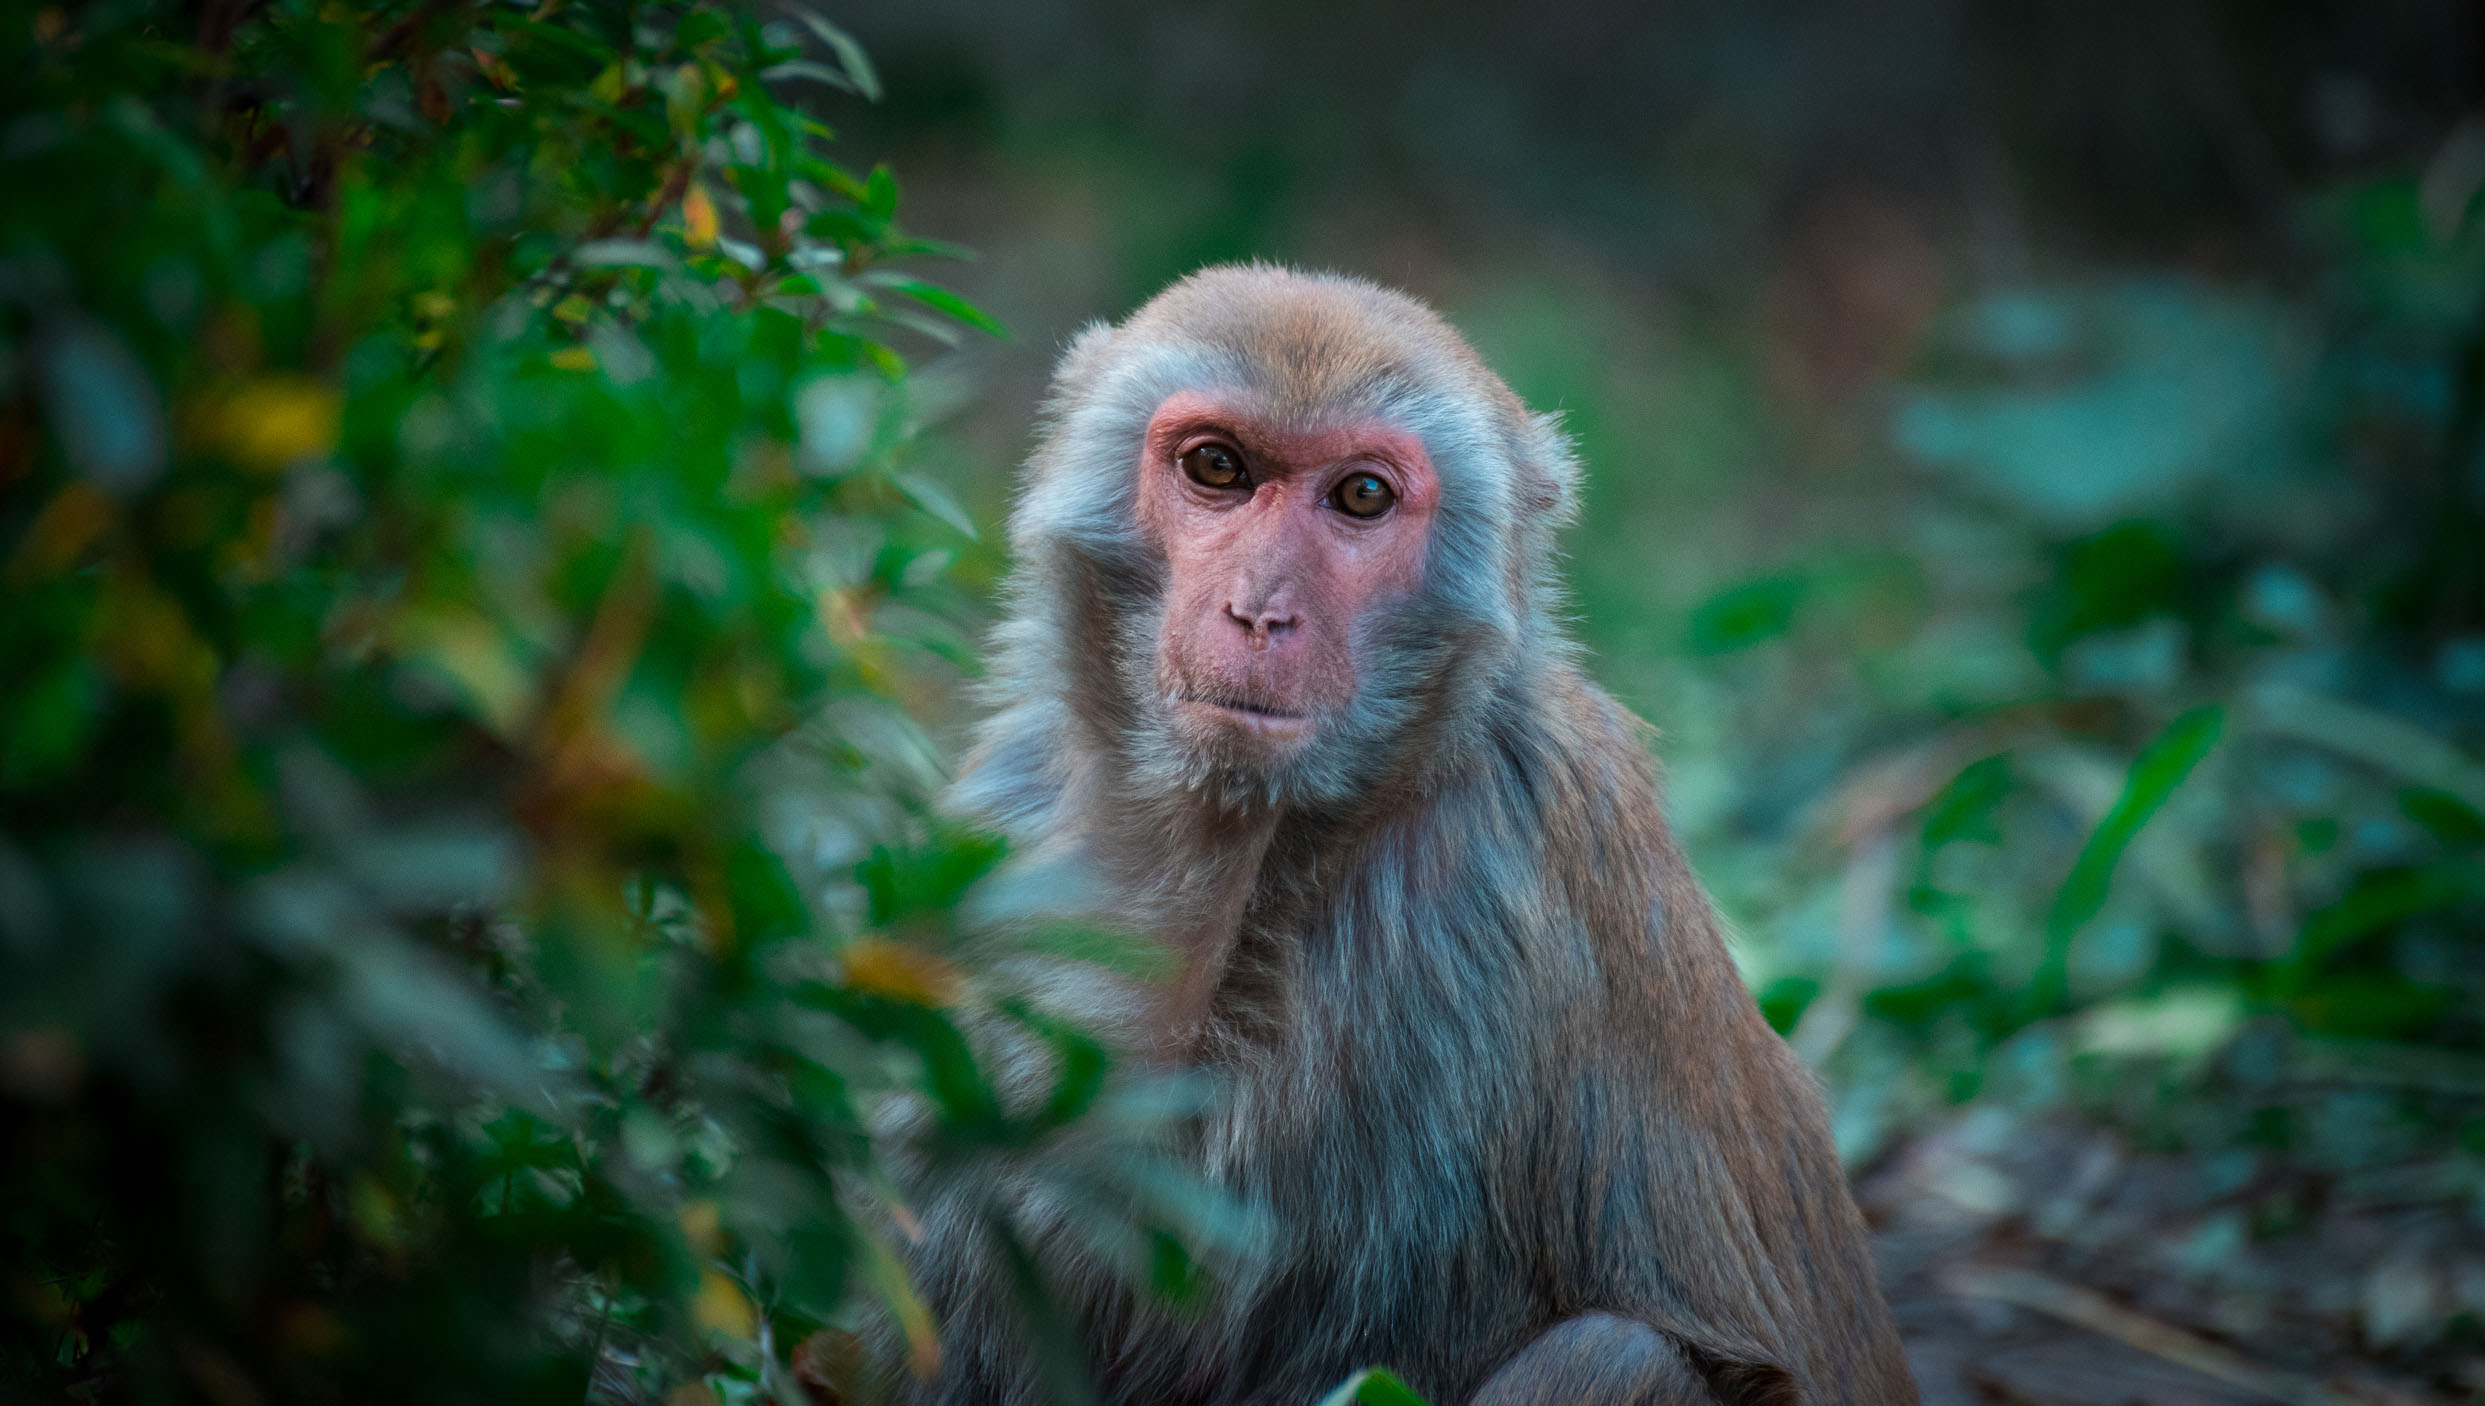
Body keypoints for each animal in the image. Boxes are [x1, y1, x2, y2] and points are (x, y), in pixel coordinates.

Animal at [894, 267, 1918, 1406]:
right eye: (1217, 467)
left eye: (1361, 498)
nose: (1259, 612)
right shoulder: (996, 838)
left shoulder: (1524, 847)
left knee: (1612, 1355)